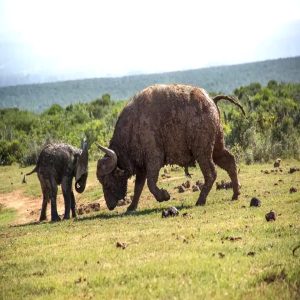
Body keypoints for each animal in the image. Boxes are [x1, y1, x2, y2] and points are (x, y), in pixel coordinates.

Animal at [97, 84, 245, 211]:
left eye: (107, 182)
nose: (110, 205)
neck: (132, 127)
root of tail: (211, 101)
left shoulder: (154, 160)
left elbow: (151, 183)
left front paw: (164, 196)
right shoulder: (141, 167)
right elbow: (138, 187)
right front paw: (131, 207)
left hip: (202, 152)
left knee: (211, 173)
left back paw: (200, 200)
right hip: (217, 148)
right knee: (230, 162)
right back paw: (235, 194)